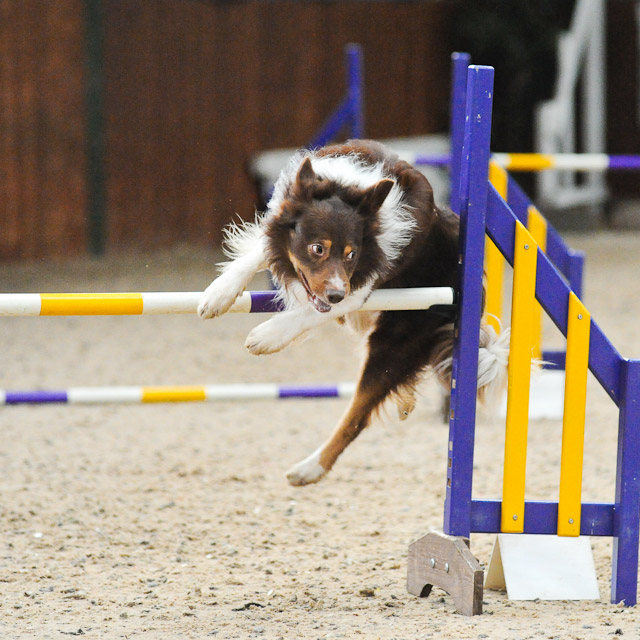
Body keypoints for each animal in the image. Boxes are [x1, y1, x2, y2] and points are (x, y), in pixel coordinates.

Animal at [198, 139, 508, 484]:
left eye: (351, 254)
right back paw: (404, 402)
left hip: (395, 341)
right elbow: (258, 253)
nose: (334, 294)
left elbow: (314, 311)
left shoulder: (360, 284)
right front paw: (219, 293)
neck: (347, 186)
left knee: (357, 416)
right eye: (318, 248)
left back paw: (308, 469)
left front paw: (267, 336)